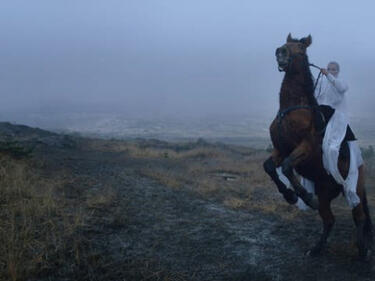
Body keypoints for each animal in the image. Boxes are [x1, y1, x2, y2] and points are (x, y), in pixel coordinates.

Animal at [264, 34, 374, 260]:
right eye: (285, 44)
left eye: (300, 47)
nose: (280, 52)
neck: (291, 109)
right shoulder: (280, 149)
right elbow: (269, 167)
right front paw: (290, 196)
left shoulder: (305, 147)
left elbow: (287, 167)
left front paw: (305, 197)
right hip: (325, 191)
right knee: (329, 219)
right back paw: (316, 249)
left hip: (354, 188)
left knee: (358, 216)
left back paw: (362, 250)